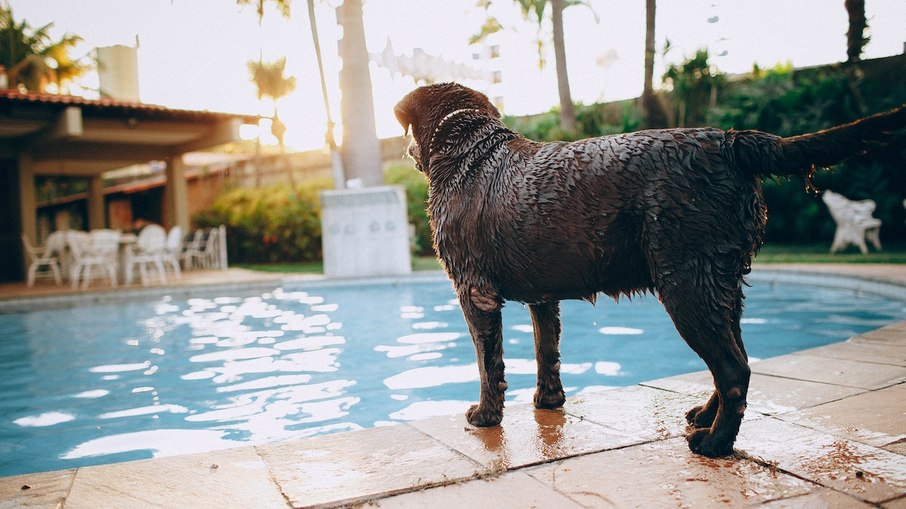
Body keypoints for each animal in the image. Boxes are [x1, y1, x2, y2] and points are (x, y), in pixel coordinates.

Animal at [394, 83, 904, 456]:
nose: (406, 151)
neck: (471, 154)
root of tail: (731, 141)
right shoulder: (544, 296)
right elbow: (546, 351)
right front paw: (548, 403)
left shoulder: (473, 292)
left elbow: (488, 363)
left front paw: (486, 416)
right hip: (720, 280)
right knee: (735, 358)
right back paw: (706, 416)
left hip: (684, 283)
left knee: (734, 368)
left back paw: (714, 444)